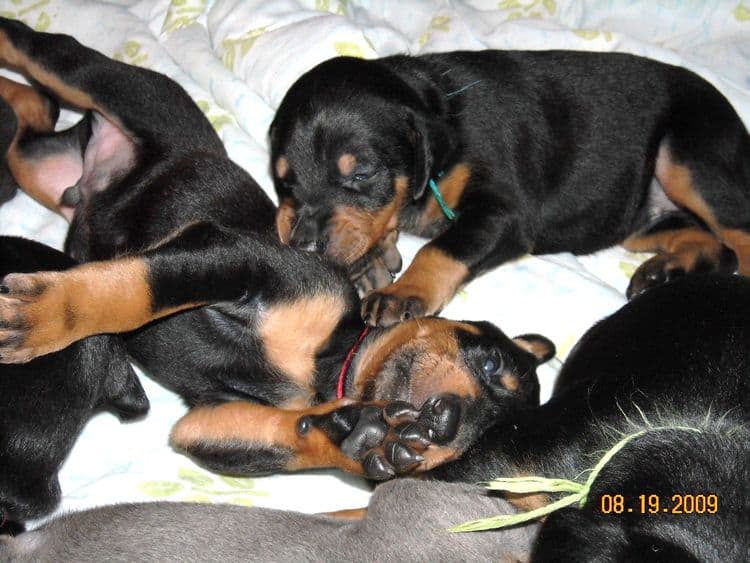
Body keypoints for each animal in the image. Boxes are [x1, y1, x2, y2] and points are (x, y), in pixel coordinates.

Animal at [0, 19, 552, 482]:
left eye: (478, 447)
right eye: (491, 366)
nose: (447, 425)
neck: (325, 360)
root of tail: (90, 166)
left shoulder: (208, 418)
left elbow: (286, 441)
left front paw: (364, 439)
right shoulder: (236, 257)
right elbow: (141, 289)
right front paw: (42, 317)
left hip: (37, 168)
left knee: (32, 115)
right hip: (118, 89)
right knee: (43, 51)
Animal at [272, 53, 750, 326]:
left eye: (361, 174)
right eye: (286, 183)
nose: (306, 247)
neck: (439, 107)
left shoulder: (502, 214)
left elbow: (441, 248)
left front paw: (402, 292)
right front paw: (371, 259)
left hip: (689, 157)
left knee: (737, 236)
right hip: (638, 218)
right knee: (714, 245)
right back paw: (662, 271)